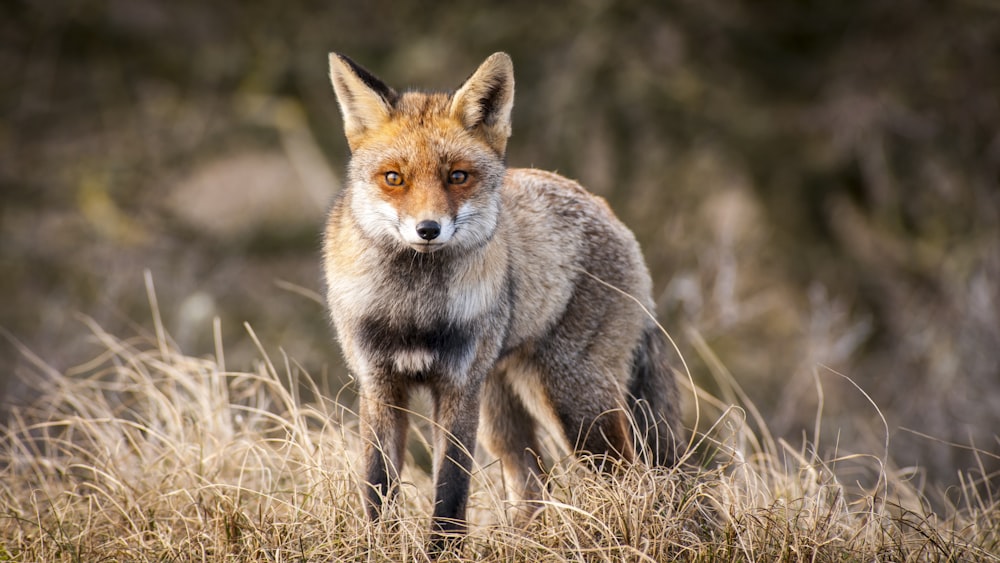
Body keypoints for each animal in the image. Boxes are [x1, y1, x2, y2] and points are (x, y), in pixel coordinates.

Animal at [324, 51, 684, 548]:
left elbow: (451, 489)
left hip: (572, 401)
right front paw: (379, 546)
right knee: (533, 485)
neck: (414, 310)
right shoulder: (379, 383)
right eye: (393, 178)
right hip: (504, 411)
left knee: (628, 475)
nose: (428, 229)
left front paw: (444, 551)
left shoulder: (459, 388)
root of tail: (603, 206)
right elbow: (378, 487)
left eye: (457, 176)